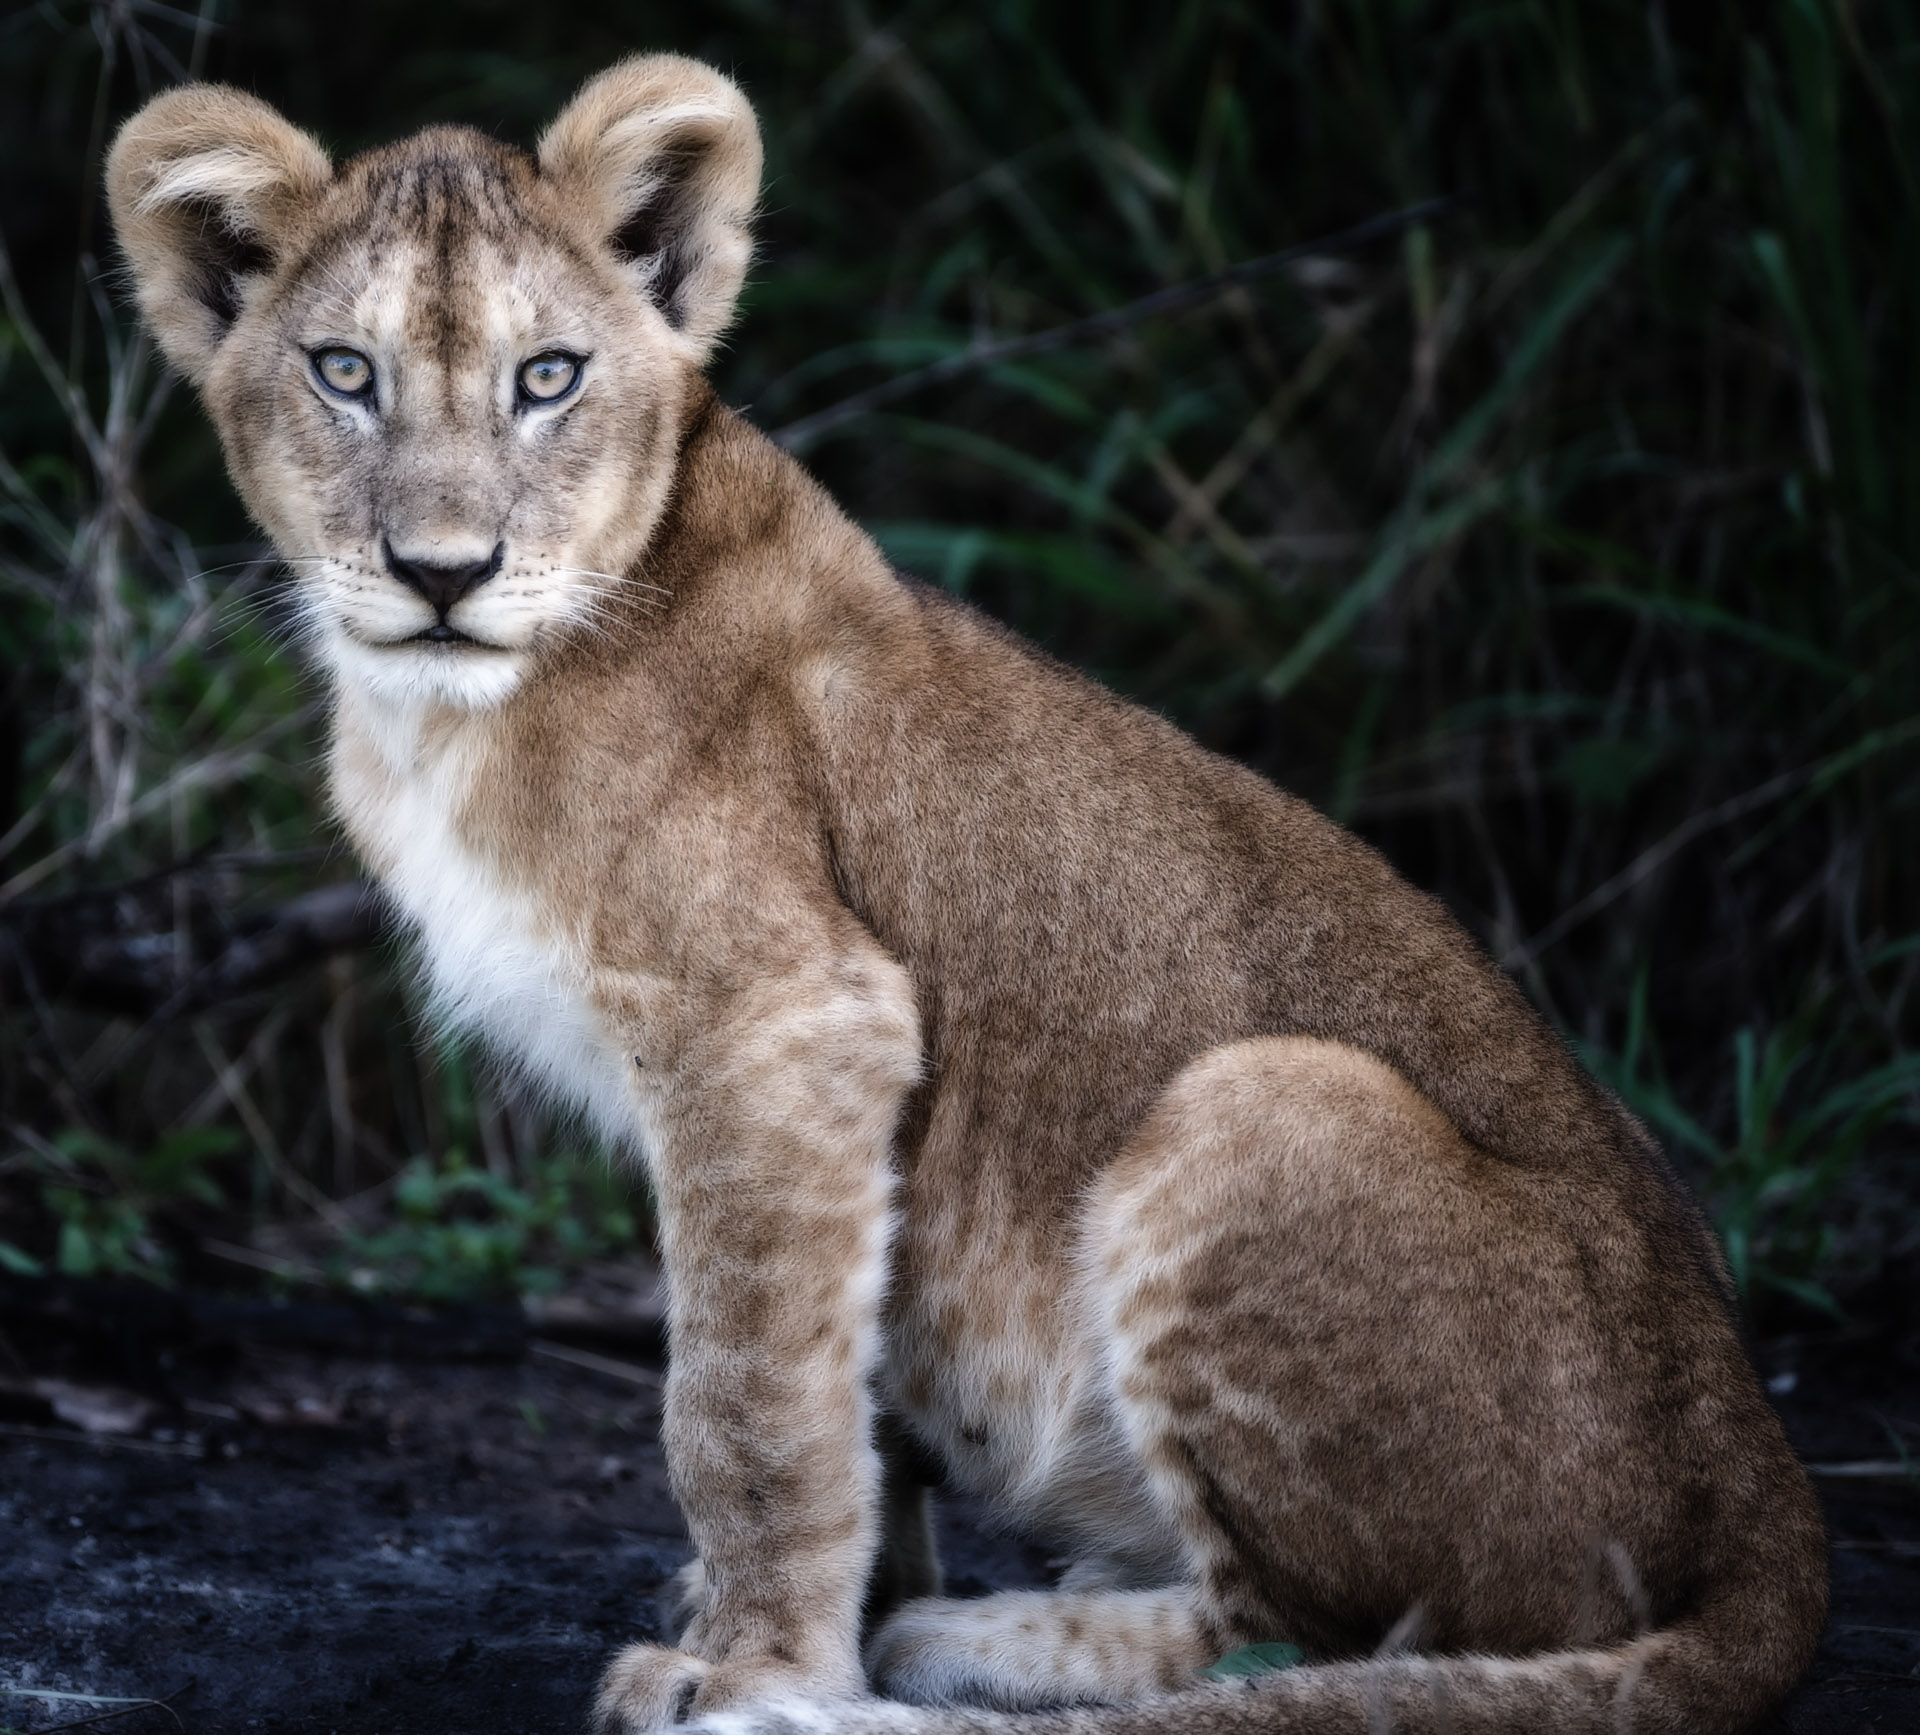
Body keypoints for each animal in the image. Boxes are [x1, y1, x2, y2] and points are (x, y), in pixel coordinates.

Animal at [107, 54, 1826, 1735]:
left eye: (548, 377)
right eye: (345, 373)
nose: (442, 571)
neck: (443, 715)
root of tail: (1765, 1496)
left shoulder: (787, 1017)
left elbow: (742, 1397)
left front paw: (756, 1674)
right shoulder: (819, 1092)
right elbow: (843, 1387)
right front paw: (809, 1618)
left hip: (1268, 1096)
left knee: (1329, 1639)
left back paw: (967, 1654)